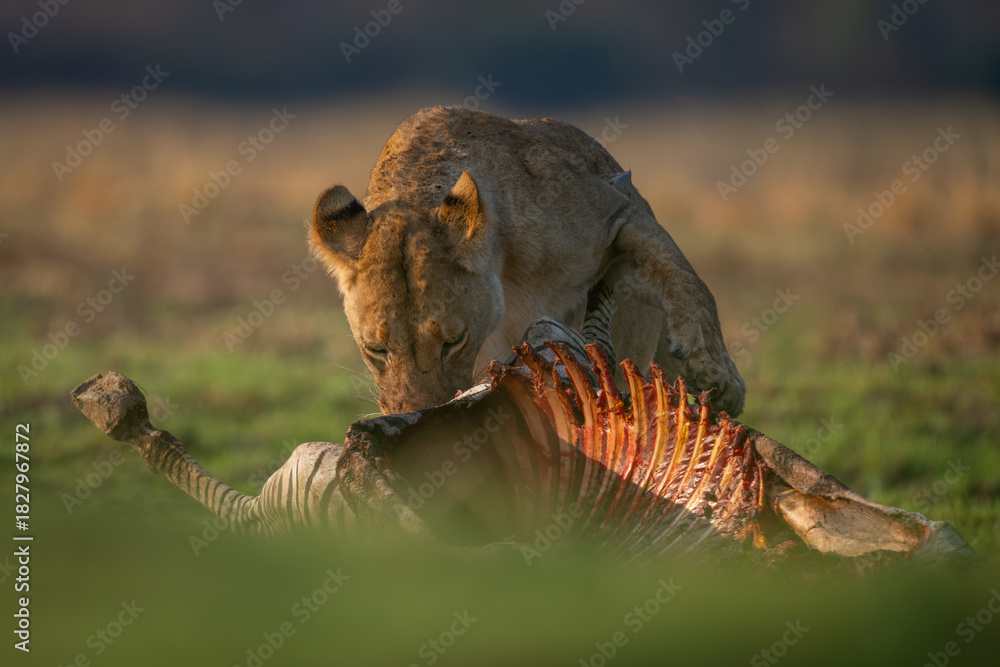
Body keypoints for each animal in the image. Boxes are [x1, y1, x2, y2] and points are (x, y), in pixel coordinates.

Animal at [309, 106, 745, 416]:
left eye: (454, 342)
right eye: (376, 350)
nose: (421, 416)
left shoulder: (614, 214)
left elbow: (688, 279)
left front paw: (718, 376)